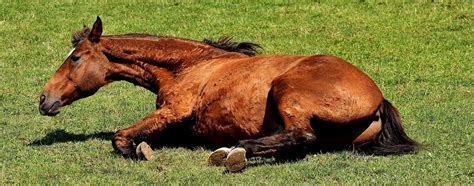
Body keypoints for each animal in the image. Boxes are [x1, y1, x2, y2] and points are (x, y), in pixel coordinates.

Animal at [40, 17, 418, 171]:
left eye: (75, 58)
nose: (44, 99)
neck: (189, 64)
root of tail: (378, 99)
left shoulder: (175, 110)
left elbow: (120, 137)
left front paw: (139, 150)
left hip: (286, 90)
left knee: (300, 136)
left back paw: (234, 152)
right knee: (296, 143)